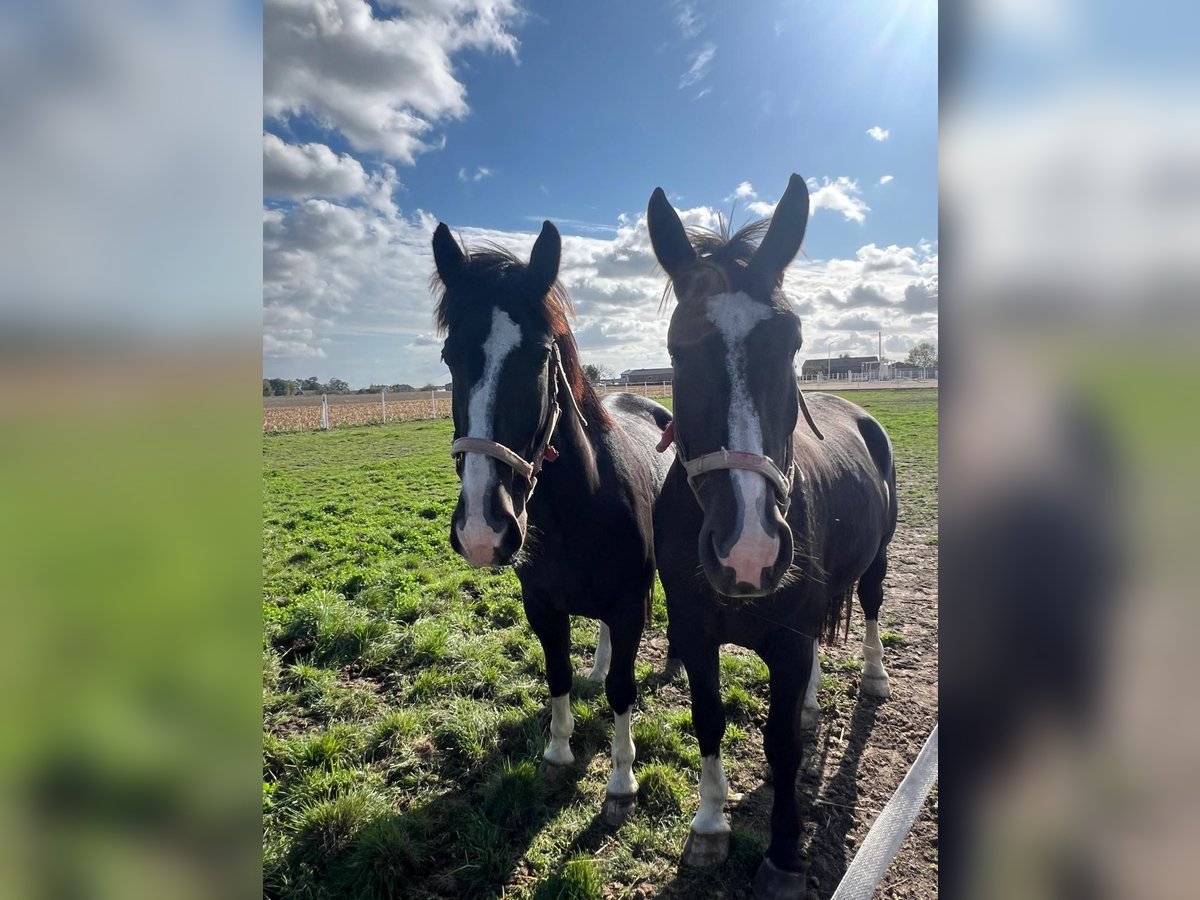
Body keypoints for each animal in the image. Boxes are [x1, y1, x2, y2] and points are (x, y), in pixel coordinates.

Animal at [429, 222, 676, 830]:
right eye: (450, 355)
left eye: (540, 357)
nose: (482, 530)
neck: (578, 508)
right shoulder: (542, 605)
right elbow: (558, 673)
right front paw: (558, 752)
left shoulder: (630, 604)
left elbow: (623, 690)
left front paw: (621, 783)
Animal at [648, 176, 902, 900]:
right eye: (678, 348)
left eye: (791, 343)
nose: (749, 551)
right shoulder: (694, 632)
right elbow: (709, 719)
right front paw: (709, 827)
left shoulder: (785, 644)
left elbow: (782, 745)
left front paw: (785, 857)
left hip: (878, 561)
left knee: (871, 606)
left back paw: (873, 677)